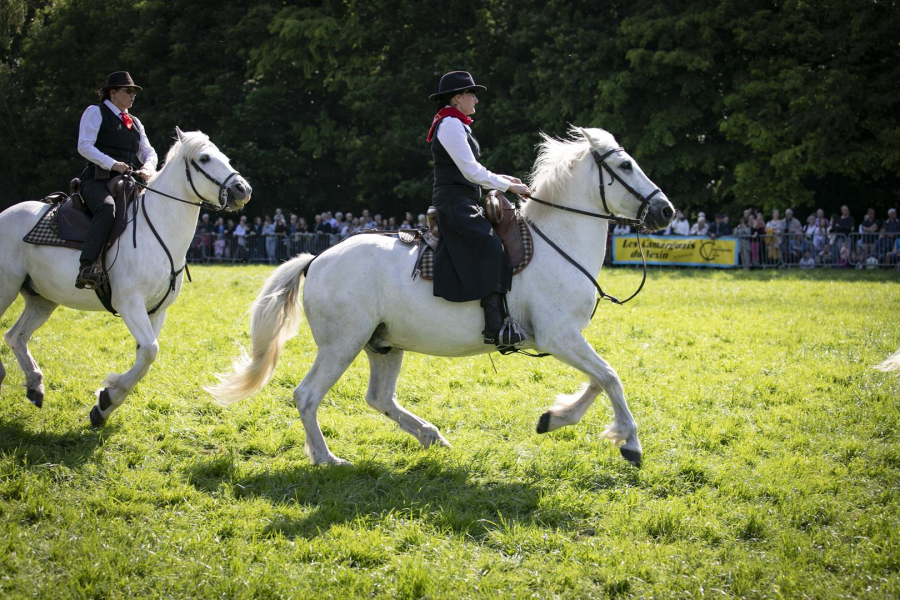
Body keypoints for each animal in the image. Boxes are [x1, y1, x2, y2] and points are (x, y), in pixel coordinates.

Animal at [0, 129, 250, 424]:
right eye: (204, 158)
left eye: (225, 157)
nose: (242, 189)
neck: (158, 231)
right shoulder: (129, 304)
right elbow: (151, 351)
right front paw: (108, 396)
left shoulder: (157, 311)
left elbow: (144, 356)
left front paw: (105, 404)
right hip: (6, 289)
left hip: (42, 300)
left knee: (15, 337)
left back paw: (35, 385)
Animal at [211, 127, 672, 468]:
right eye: (626, 165)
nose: (666, 211)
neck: (556, 241)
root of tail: (318, 258)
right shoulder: (559, 336)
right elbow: (610, 377)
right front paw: (630, 443)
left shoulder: (565, 338)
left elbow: (598, 378)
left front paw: (555, 418)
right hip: (341, 345)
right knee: (307, 396)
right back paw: (327, 458)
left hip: (383, 344)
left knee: (379, 397)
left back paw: (431, 436)